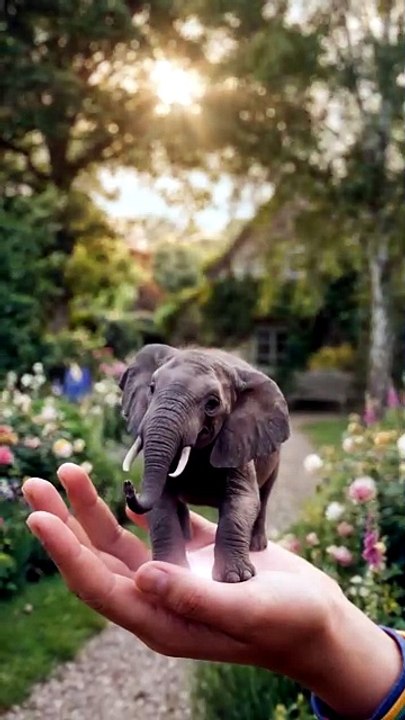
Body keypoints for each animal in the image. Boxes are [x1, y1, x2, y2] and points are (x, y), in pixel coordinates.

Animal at [119, 343, 290, 583]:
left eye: (212, 404)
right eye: (152, 388)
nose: (128, 486)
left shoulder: (237, 443)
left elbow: (243, 499)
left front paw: (236, 578)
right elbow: (162, 503)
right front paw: (172, 566)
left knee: (264, 495)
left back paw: (256, 547)